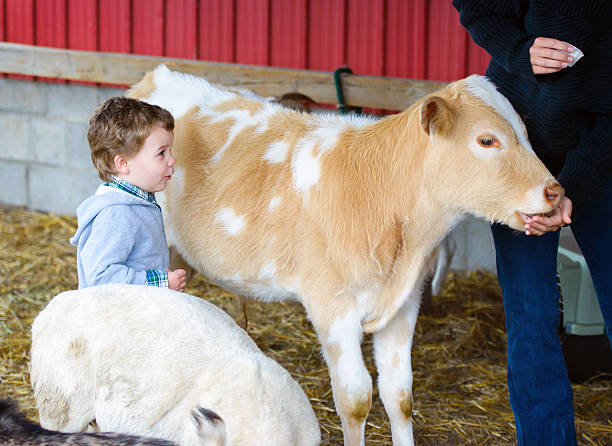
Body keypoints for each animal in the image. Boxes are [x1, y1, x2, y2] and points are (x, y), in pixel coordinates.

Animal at [128, 66, 564, 446]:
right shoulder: (331, 305)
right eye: (487, 140)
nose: (555, 191)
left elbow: (400, 395)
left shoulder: (405, 304)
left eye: (526, 134)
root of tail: (157, 76)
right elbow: (355, 399)